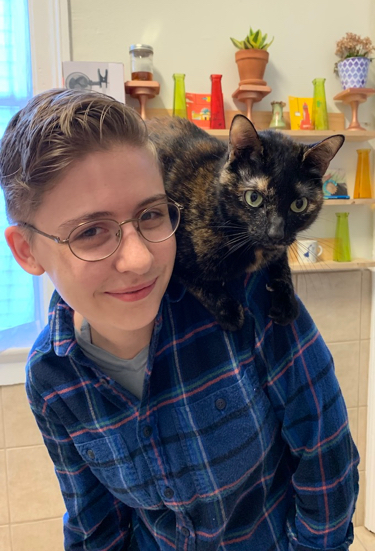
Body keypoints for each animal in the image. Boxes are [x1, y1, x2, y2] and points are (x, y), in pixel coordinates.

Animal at [146, 115, 344, 332]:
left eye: (299, 204)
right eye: (254, 198)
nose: (276, 233)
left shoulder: (279, 248)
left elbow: (282, 265)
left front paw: (286, 303)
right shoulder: (174, 256)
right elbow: (198, 282)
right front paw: (230, 312)